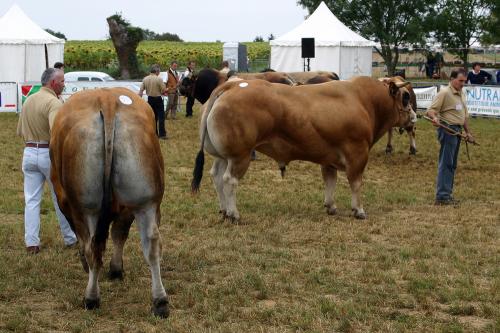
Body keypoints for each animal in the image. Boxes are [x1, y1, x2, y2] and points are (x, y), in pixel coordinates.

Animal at [50, 87, 169, 316]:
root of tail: (106, 98)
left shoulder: (67, 204)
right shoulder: (126, 209)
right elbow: (119, 235)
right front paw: (116, 268)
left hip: (87, 207)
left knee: (92, 246)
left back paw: (91, 297)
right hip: (145, 201)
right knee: (152, 244)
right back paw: (160, 301)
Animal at [190, 76, 414, 219]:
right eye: (405, 97)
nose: (414, 116)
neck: (362, 99)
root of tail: (232, 85)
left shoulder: (329, 158)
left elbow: (330, 182)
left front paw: (331, 206)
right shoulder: (357, 154)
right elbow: (356, 183)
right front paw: (358, 210)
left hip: (223, 156)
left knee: (217, 177)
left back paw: (223, 210)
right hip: (240, 156)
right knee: (229, 180)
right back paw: (233, 213)